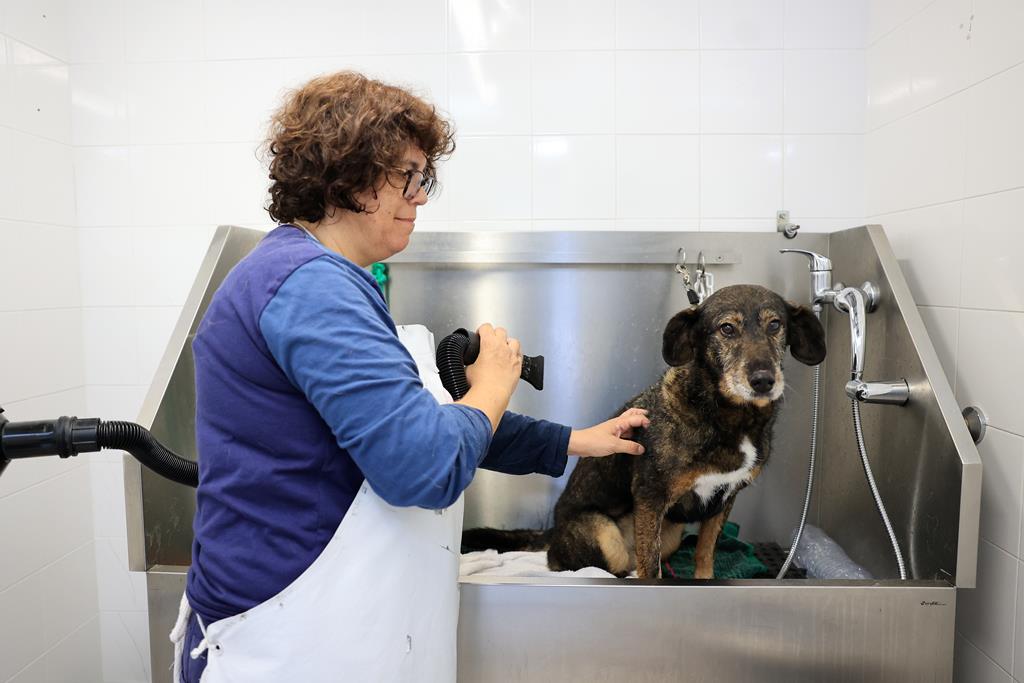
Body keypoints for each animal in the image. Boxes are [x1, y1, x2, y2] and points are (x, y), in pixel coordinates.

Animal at [463, 284, 826, 579]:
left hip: (672, 535)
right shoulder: (651, 497)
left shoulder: (725, 500)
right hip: (604, 534)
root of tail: (553, 531)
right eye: (727, 329)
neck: (727, 415)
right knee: (588, 564)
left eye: (775, 325)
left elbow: (705, 553)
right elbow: (650, 570)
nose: (764, 381)